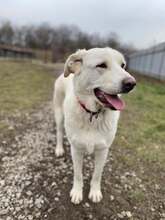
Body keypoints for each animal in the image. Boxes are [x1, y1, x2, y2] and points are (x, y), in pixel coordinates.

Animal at [53, 47, 136, 204]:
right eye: (101, 65)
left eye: (123, 66)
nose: (132, 83)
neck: (92, 114)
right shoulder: (76, 150)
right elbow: (78, 174)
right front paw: (77, 192)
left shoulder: (103, 150)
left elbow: (97, 174)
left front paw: (95, 192)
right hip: (59, 116)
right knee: (59, 133)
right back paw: (59, 149)